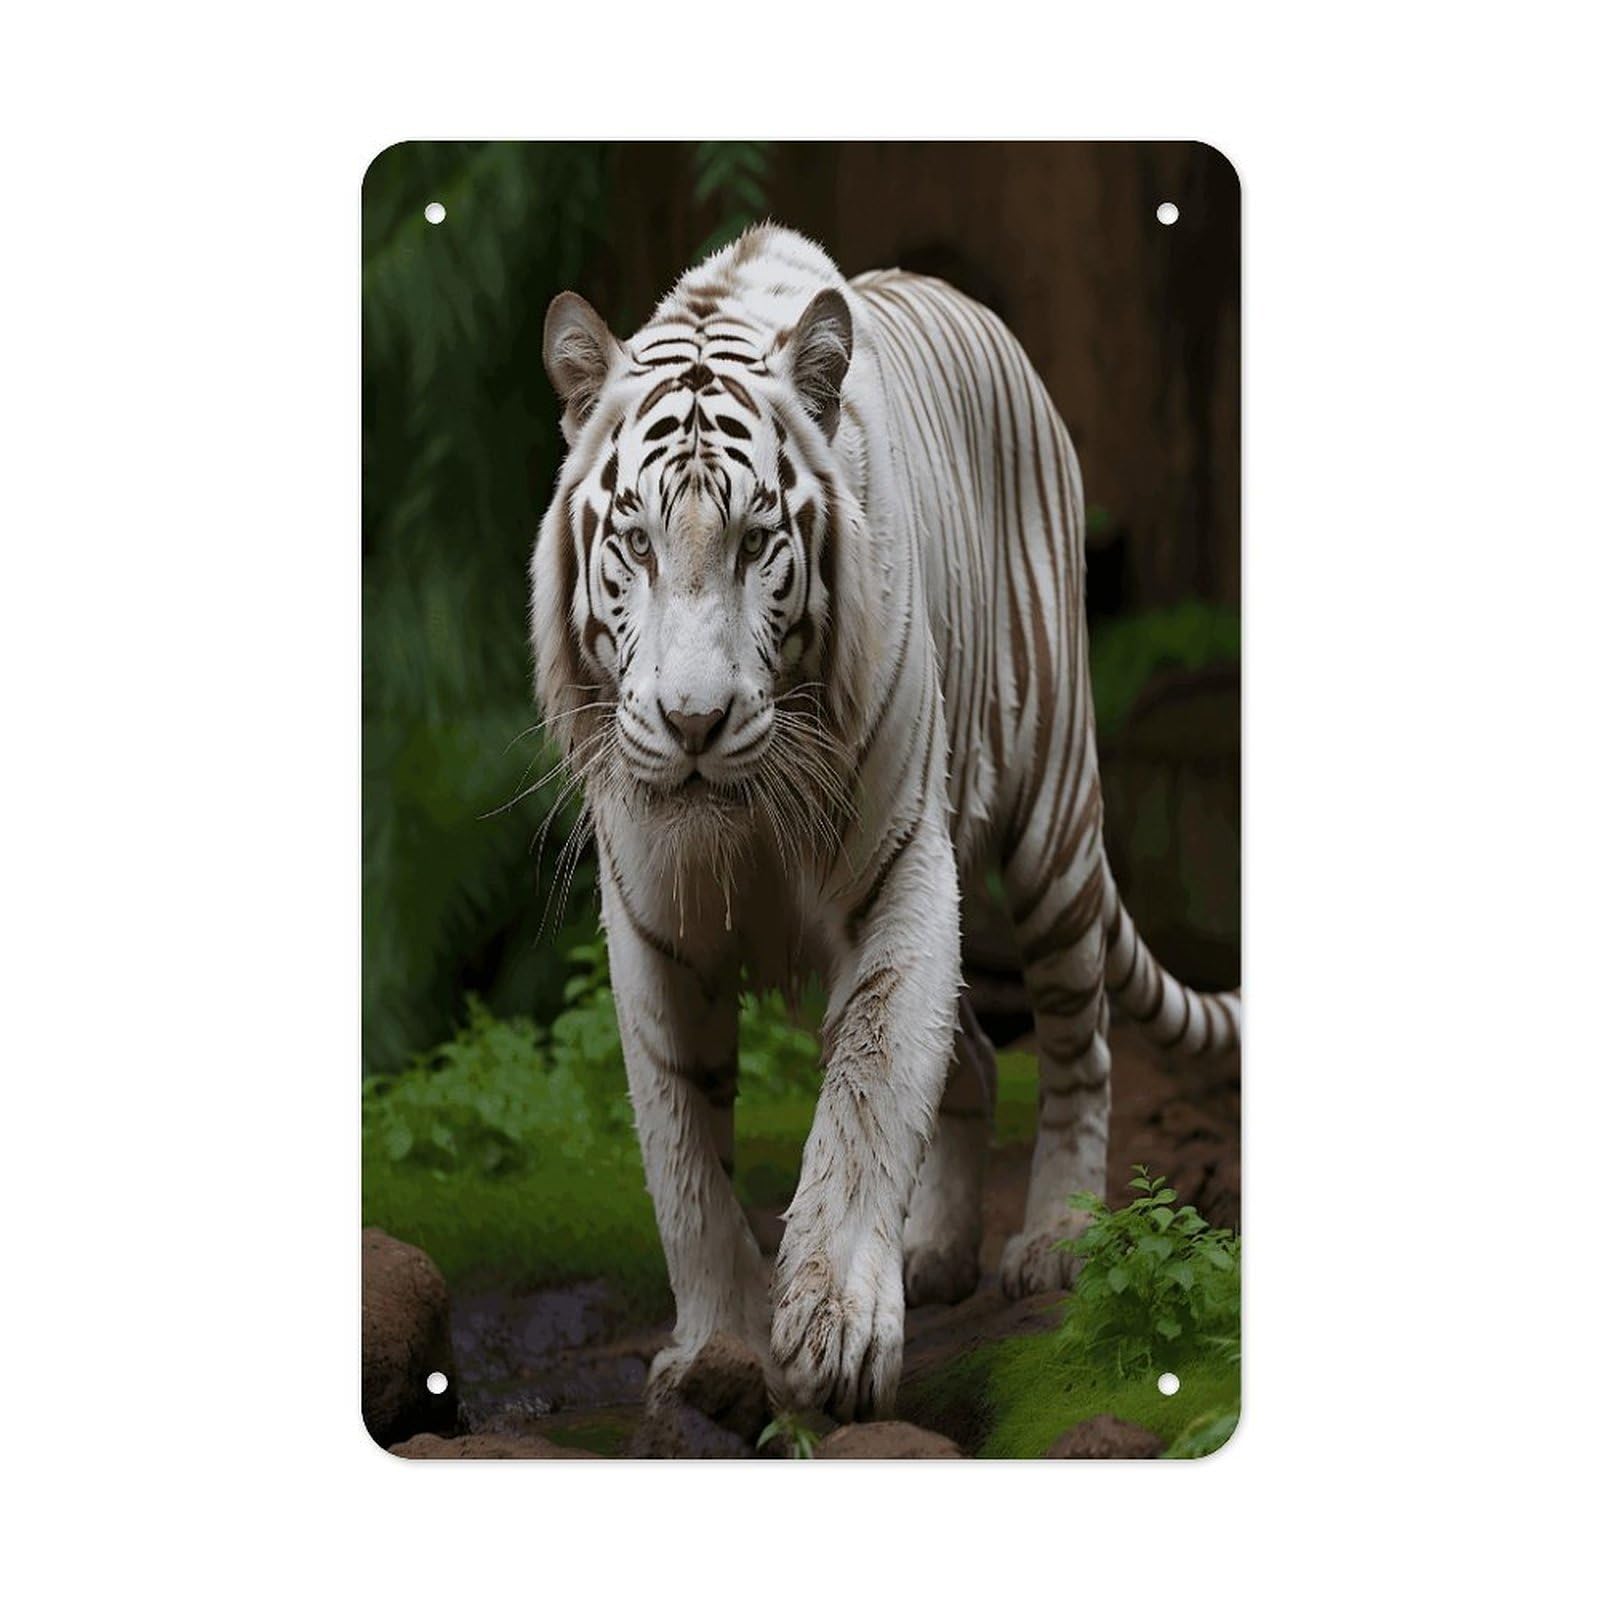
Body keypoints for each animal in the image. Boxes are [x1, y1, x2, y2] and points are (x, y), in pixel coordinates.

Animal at [530, 223, 1239, 1422]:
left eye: (755, 540)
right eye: (636, 542)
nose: (692, 720)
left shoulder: (902, 867)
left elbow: (867, 1094)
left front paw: (836, 1332)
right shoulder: (653, 926)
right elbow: (684, 1156)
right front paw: (716, 1346)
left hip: (1050, 824)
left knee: (1077, 1040)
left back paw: (1055, 1240)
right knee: (976, 1060)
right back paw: (938, 1248)